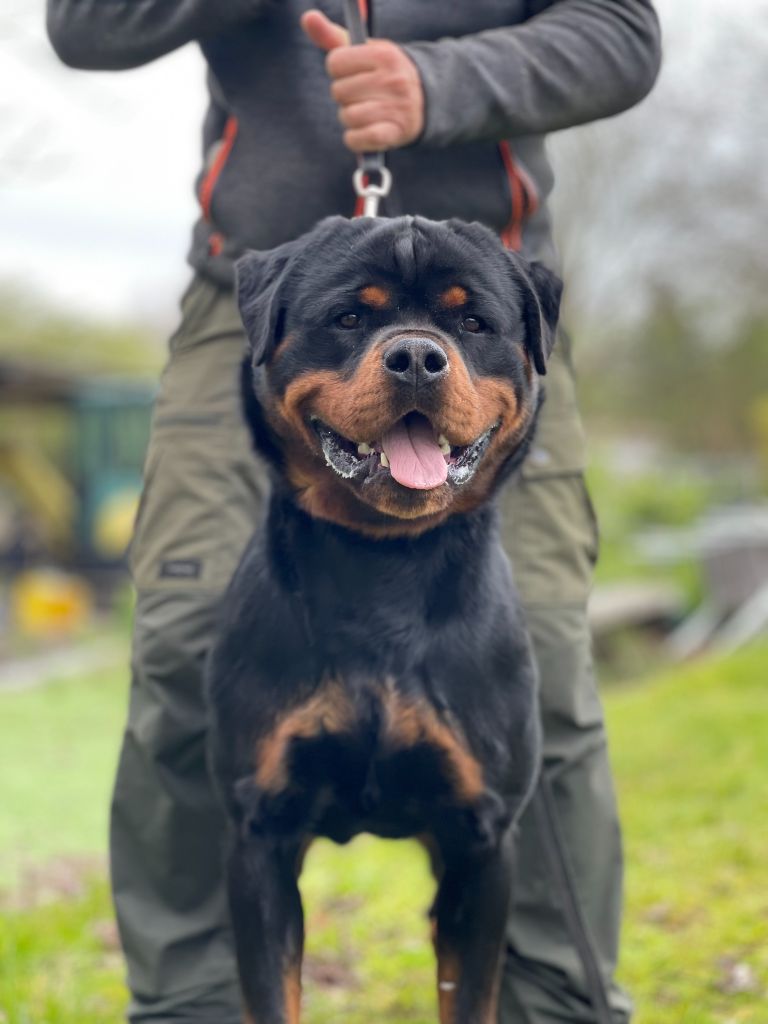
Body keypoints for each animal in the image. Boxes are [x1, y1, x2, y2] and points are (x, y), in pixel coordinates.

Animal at [207, 211, 561, 1019]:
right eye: (349, 318)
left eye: (472, 321)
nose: (417, 358)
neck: (382, 563)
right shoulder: (259, 831)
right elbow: (274, 994)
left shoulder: (481, 841)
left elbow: (469, 995)